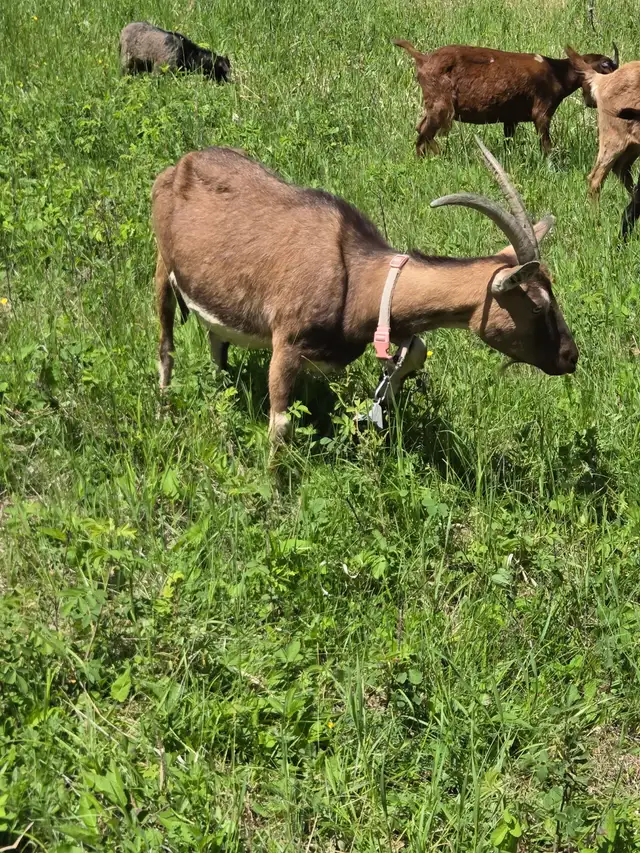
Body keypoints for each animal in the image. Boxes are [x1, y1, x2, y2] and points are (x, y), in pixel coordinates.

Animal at [151, 138, 578, 447]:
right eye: (537, 306)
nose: (570, 357)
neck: (356, 278)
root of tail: (179, 165)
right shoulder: (285, 343)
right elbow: (281, 425)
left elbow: (414, 351)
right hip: (162, 267)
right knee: (166, 345)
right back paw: (165, 409)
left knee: (216, 343)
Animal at [393, 39, 618, 156]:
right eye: (606, 67)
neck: (557, 72)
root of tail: (423, 58)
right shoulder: (542, 110)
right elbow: (546, 143)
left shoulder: (511, 118)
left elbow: (509, 140)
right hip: (440, 103)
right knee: (425, 132)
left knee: (421, 127)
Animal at [565, 47, 640, 238]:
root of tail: (603, 80)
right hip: (613, 139)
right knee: (596, 177)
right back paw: (595, 221)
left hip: (632, 146)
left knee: (621, 169)